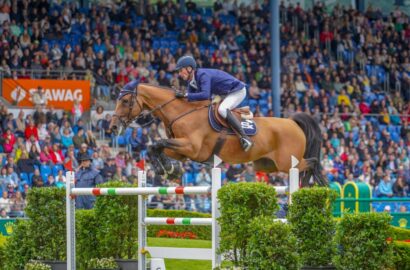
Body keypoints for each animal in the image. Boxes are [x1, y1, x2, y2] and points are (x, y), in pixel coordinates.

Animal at [109, 82, 326, 187]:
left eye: (126, 101)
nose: (113, 126)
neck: (181, 112)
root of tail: (292, 122)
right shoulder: (181, 150)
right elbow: (155, 146)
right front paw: (170, 169)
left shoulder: (191, 147)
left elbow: (157, 143)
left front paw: (167, 169)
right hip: (267, 165)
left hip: (286, 162)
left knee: (311, 163)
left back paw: (307, 186)